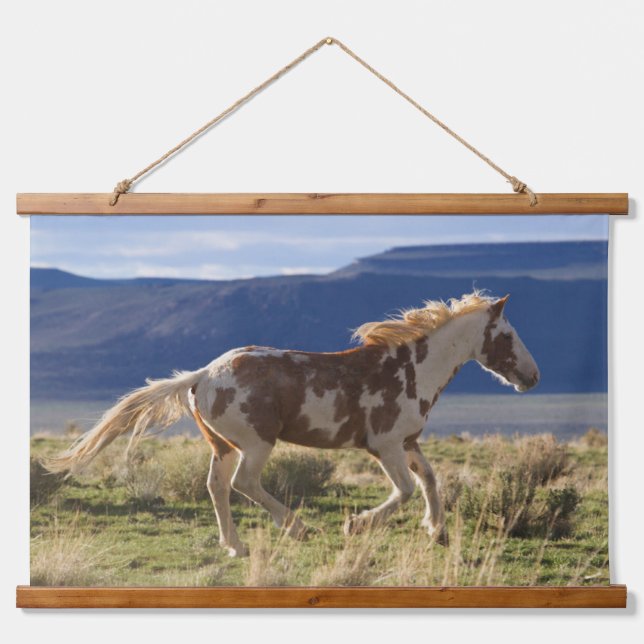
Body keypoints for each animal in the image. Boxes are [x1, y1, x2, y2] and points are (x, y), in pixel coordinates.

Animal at [45, 291, 539, 557]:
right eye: (508, 335)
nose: (533, 377)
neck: (413, 369)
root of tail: (202, 375)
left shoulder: (408, 442)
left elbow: (432, 481)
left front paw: (436, 530)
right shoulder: (383, 445)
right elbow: (403, 490)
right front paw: (356, 524)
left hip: (223, 446)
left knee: (216, 486)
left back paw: (236, 545)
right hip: (256, 443)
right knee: (244, 484)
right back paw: (299, 527)